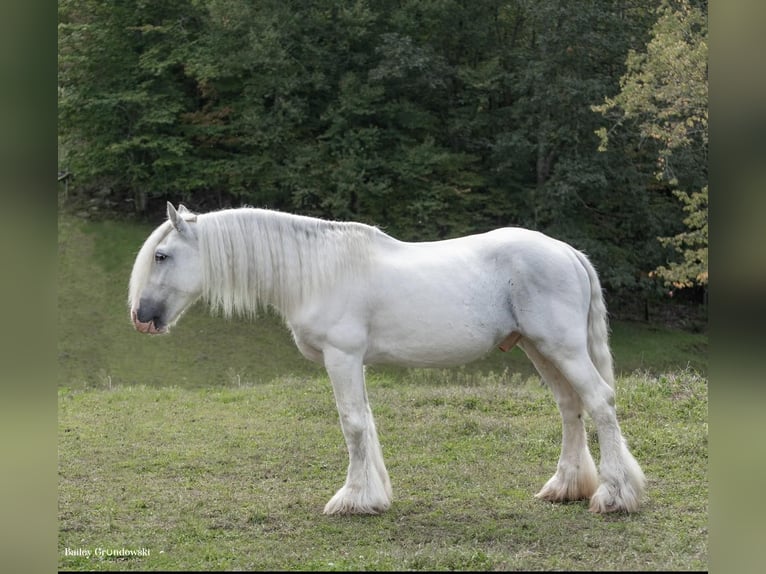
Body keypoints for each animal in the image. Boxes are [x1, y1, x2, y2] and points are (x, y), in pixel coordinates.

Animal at [129, 204, 644, 516]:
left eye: (161, 255)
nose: (142, 317)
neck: (319, 271)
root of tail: (569, 253)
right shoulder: (354, 362)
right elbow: (367, 423)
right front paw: (373, 495)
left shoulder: (341, 357)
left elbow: (353, 424)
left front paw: (353, 499)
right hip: (539, 348)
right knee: (571, 407)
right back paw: (566, 487)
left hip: (562, 348)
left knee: (599, 402)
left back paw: (614, 496)